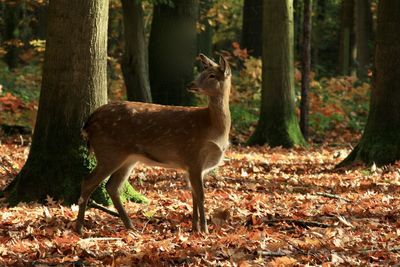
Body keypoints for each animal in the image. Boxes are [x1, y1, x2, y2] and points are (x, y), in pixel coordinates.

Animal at [75, 54, 231, 234]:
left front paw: (195, 228)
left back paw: (130, 226)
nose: (190, 85)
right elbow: (201, 195)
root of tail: (88, 123)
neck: (213, 128)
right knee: (88, 182)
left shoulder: (196, 166)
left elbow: (193, 195)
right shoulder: (193, 157)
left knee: (112, 186)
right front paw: (204, 230)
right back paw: (79, 228)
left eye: (212, 75)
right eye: (203, 72)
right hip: (109, 152)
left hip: (128, 158)